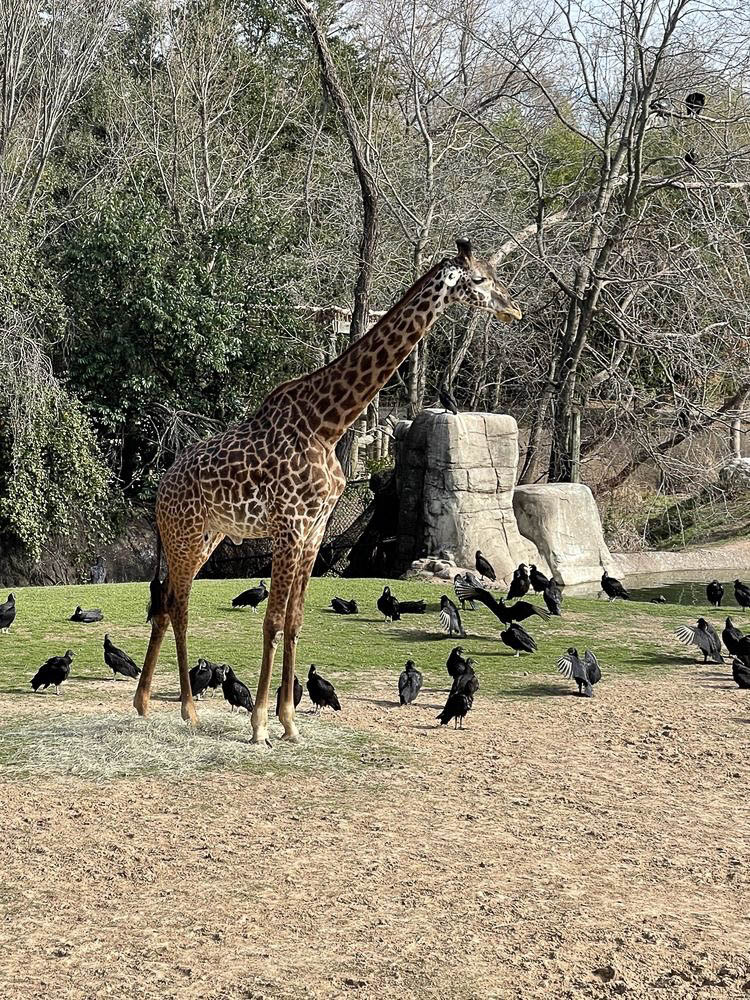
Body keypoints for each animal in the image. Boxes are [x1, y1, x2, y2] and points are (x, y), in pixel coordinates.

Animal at [134, 238, 524, 748]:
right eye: (478, 279)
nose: (514, 308)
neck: (328, 423)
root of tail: (161, 489)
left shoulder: (314, 530)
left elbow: (295, 621)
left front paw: (289, 723)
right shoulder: (290, 528)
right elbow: (273, 620)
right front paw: (259, 725)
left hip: (205, 539)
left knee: (165, 606)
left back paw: (144, 705)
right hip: (184, 536)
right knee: (177, 608)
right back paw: (188, 712)